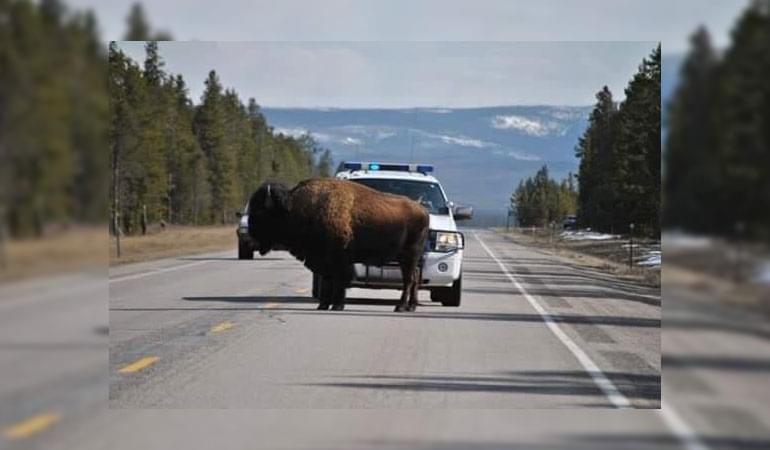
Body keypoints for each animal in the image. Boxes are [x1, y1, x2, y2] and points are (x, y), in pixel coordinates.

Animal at [246, 178, 426, 312]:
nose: (249, 238)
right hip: (407, 258)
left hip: (409, 255)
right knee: (414, 278)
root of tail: (422, 210)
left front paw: (337, 305)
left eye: (260, 212)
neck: (296, 208)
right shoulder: (322, 259)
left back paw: (400, 307)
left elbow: (339, 281)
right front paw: (323, 305)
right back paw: (411, 307)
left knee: (409, 280)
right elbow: (328, 281)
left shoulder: (339, 259)